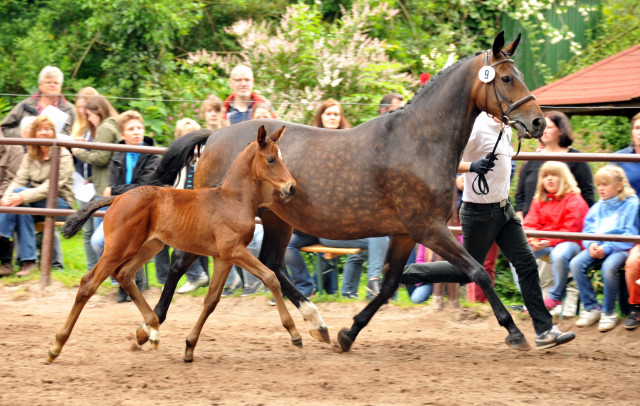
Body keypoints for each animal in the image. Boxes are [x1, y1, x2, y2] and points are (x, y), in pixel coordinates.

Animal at [49, 125, 308, 364]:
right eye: (271, 159)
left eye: (282, 157)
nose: (292, 187)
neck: (233, 200)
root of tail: (118, 197)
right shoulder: (234, 251)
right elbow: (271, 277)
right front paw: (295, 333)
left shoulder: (223, 258)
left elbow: (212, 300)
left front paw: (189, 346)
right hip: (118, 248)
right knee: (88, 283)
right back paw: (56, 346)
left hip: (149, 246)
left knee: (124, 275)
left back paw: (152, 330)